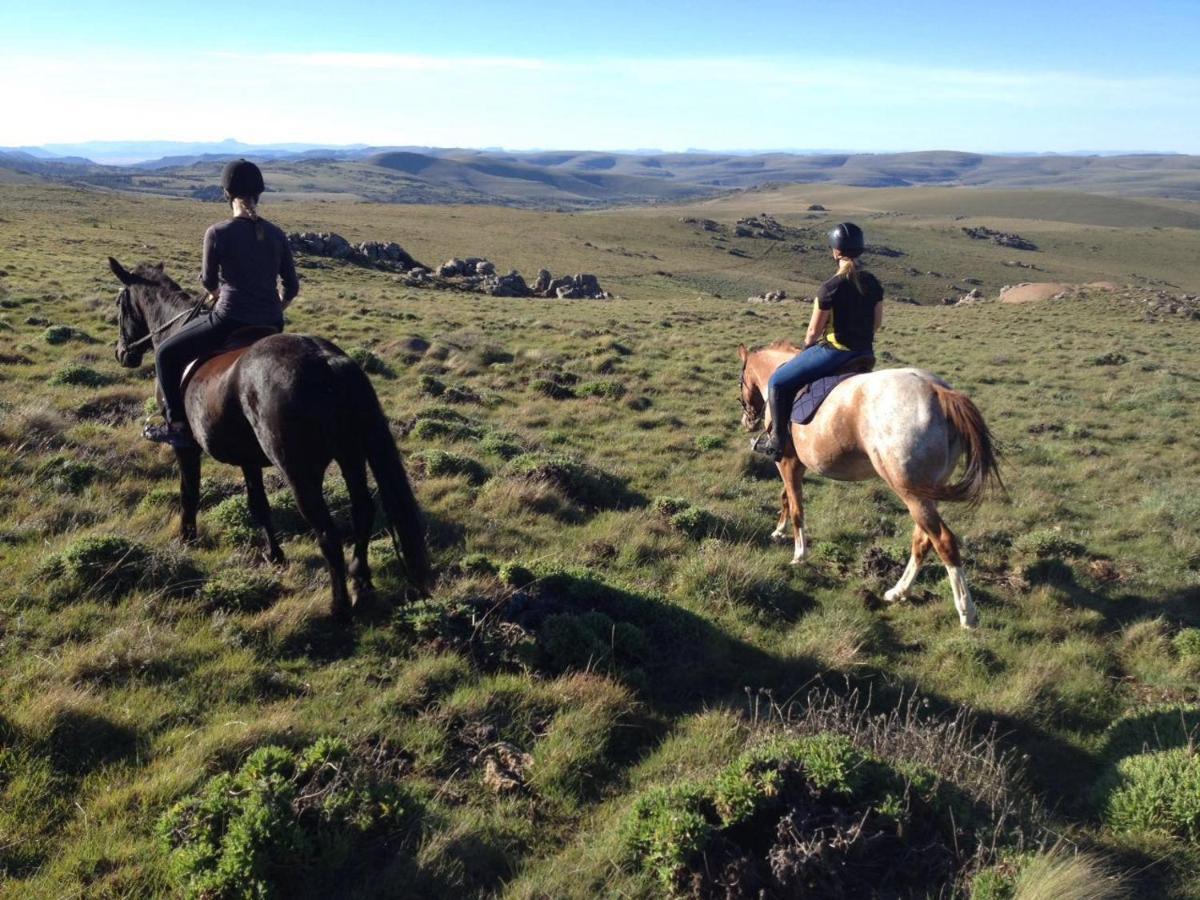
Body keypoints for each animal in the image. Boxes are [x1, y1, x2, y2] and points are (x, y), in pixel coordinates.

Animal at [109, 256, 432, 619]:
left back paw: (339, 607)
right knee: (362, 511)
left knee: (327, 532)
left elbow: (188, 491)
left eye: (120, 304)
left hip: (298, 469)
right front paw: (274, 555)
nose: (123, 353)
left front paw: (186, 539)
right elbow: (258, 504)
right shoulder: (248, 458)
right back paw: (361, 584)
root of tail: (326, 361)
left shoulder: (188, 448)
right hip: (351, 455)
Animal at [739, 340, 1003, 628]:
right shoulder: (796, 465)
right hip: (925, 493)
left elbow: (797, 508)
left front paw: (799, 555)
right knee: (923, 540)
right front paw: (779, 531)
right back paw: (899, 591)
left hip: (910, 491)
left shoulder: (786, 462)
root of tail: (938, 390)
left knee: (943, 541)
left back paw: (966, 612)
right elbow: (786, 497)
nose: (746, 421)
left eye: (741, 381)